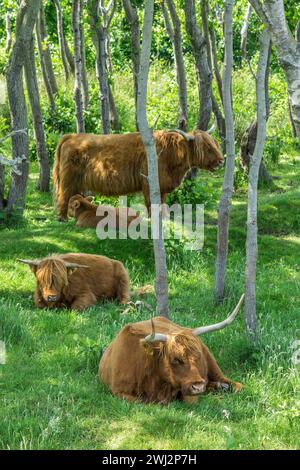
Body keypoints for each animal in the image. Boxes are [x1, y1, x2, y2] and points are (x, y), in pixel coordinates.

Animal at [53, 129, 223, 221]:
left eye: (215, 144)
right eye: (207, 147)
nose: (221, 160)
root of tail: (71, 136)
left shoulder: (162, 185)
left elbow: (162, 202)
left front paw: (164, 219)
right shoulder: (149, 183)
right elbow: (151, 203)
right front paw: (153, 219)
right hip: (68, 179)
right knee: (63, 195)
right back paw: (62, 218)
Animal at [99, 296, 245, 406]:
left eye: (198, 357)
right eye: (176, 359)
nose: (198, 386)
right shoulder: (119, 391)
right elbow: (143, 402)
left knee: (234, 384)